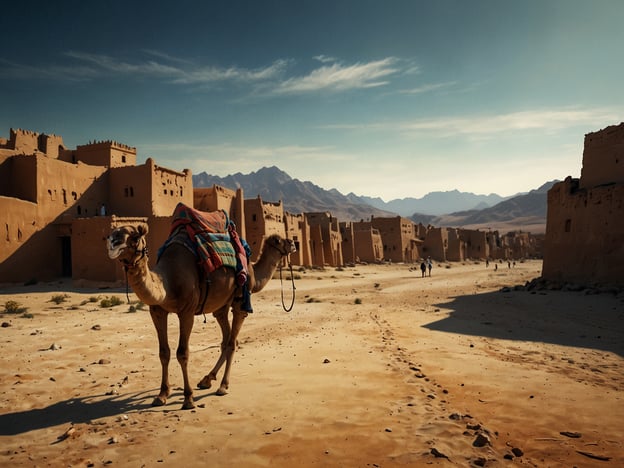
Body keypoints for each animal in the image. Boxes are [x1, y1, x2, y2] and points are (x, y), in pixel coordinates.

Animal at [106, 223, 296, 410]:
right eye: (112, 233)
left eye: (135, 236)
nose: (293, 243)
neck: (167, 282)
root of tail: (250, 269)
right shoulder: (157, 311)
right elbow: (164, 353)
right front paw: (162, 395)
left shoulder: (187, 312)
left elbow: (182, 353)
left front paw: (188, 399)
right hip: (221, 306)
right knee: (226, 340)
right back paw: (207, 379)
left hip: (240, 299)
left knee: (232, 342)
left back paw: (223, 386)